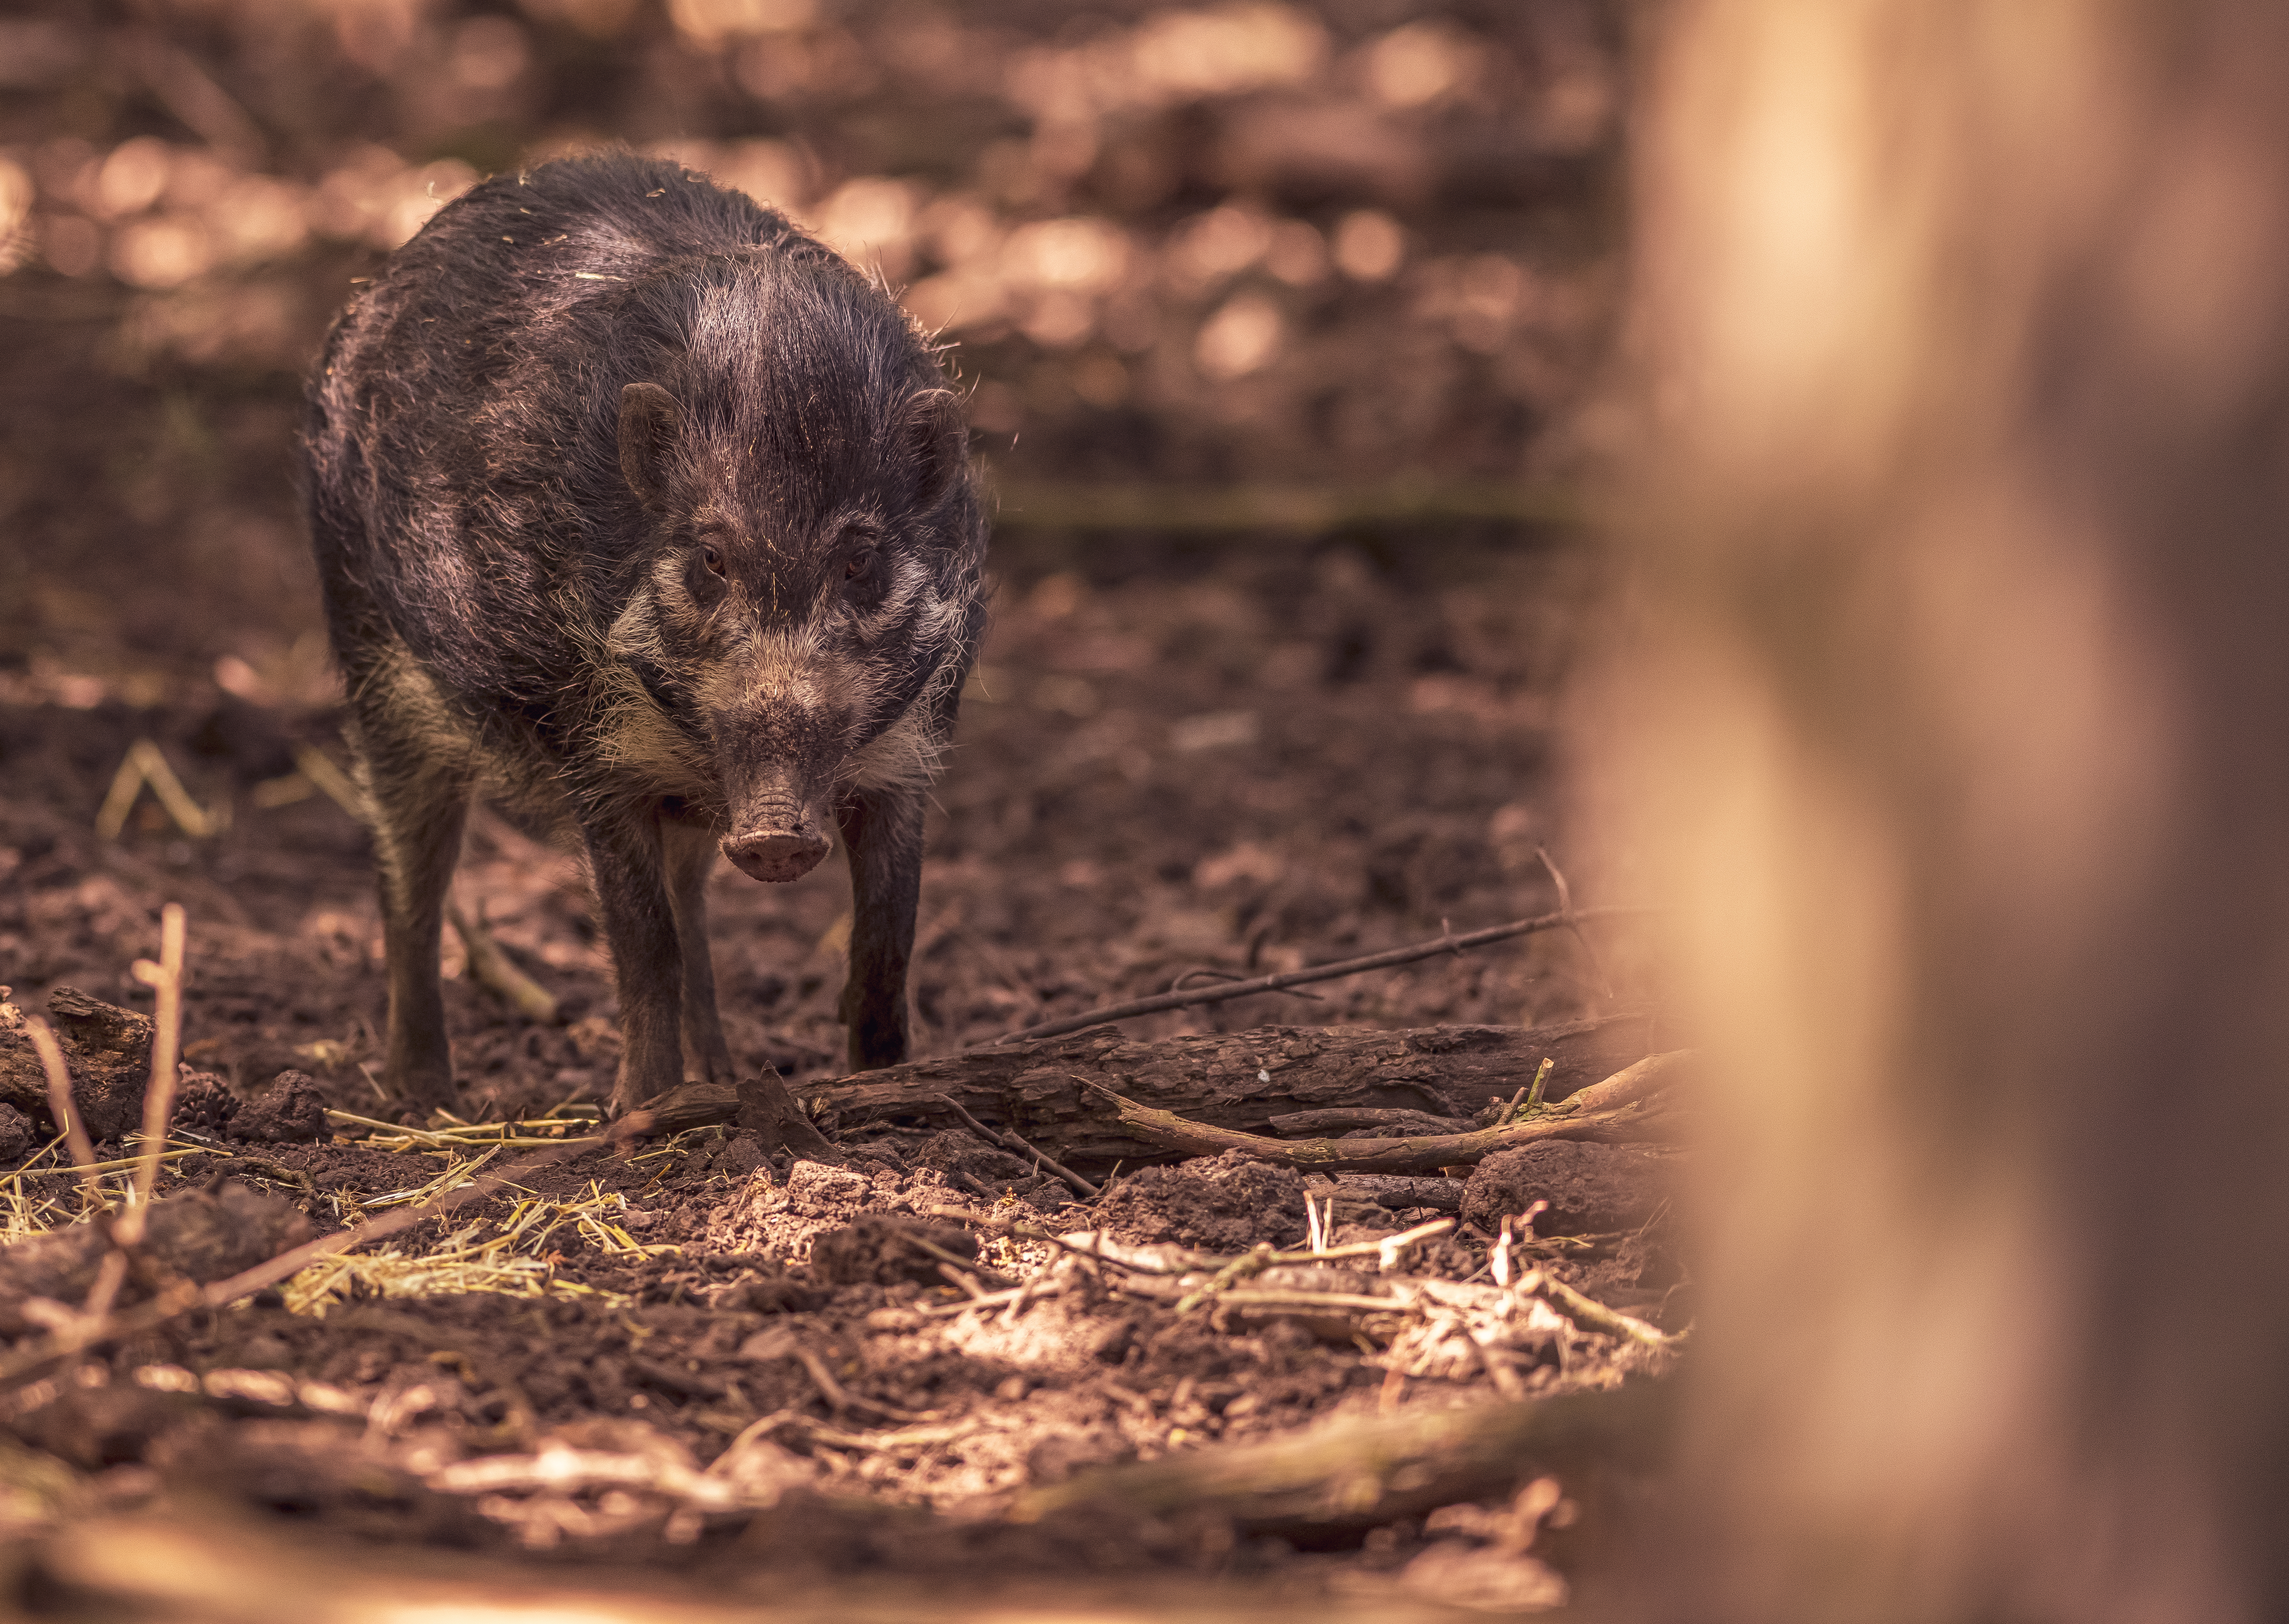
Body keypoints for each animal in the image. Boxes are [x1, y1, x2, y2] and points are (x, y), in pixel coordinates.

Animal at [301, 153, 987, 1118]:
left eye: (860, 559)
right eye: (710, 556)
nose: (775, 835)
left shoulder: (908, 756)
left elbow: (886, 946)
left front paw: (878, 1085)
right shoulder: (594, 753)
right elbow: (640, 939)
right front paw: (637, 1112)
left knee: (692, 898)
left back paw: (726, 1077)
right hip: (372, 661)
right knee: (409, 877)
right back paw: (424, 1098)